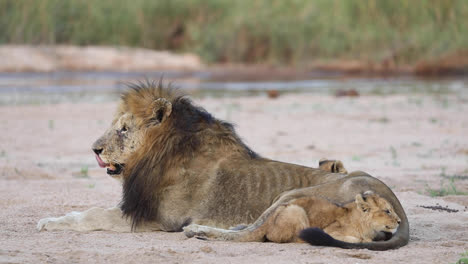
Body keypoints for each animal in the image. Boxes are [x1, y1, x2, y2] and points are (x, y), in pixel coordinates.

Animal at [36, 80, 408, 250]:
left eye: (123, 129)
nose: (94, 149)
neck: (157, 156)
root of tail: (395, 204)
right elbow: (89, 212)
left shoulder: (159, 219)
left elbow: (91, 216)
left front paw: (49, 222)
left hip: (293, 193)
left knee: (254, 232)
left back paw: (201, 230)